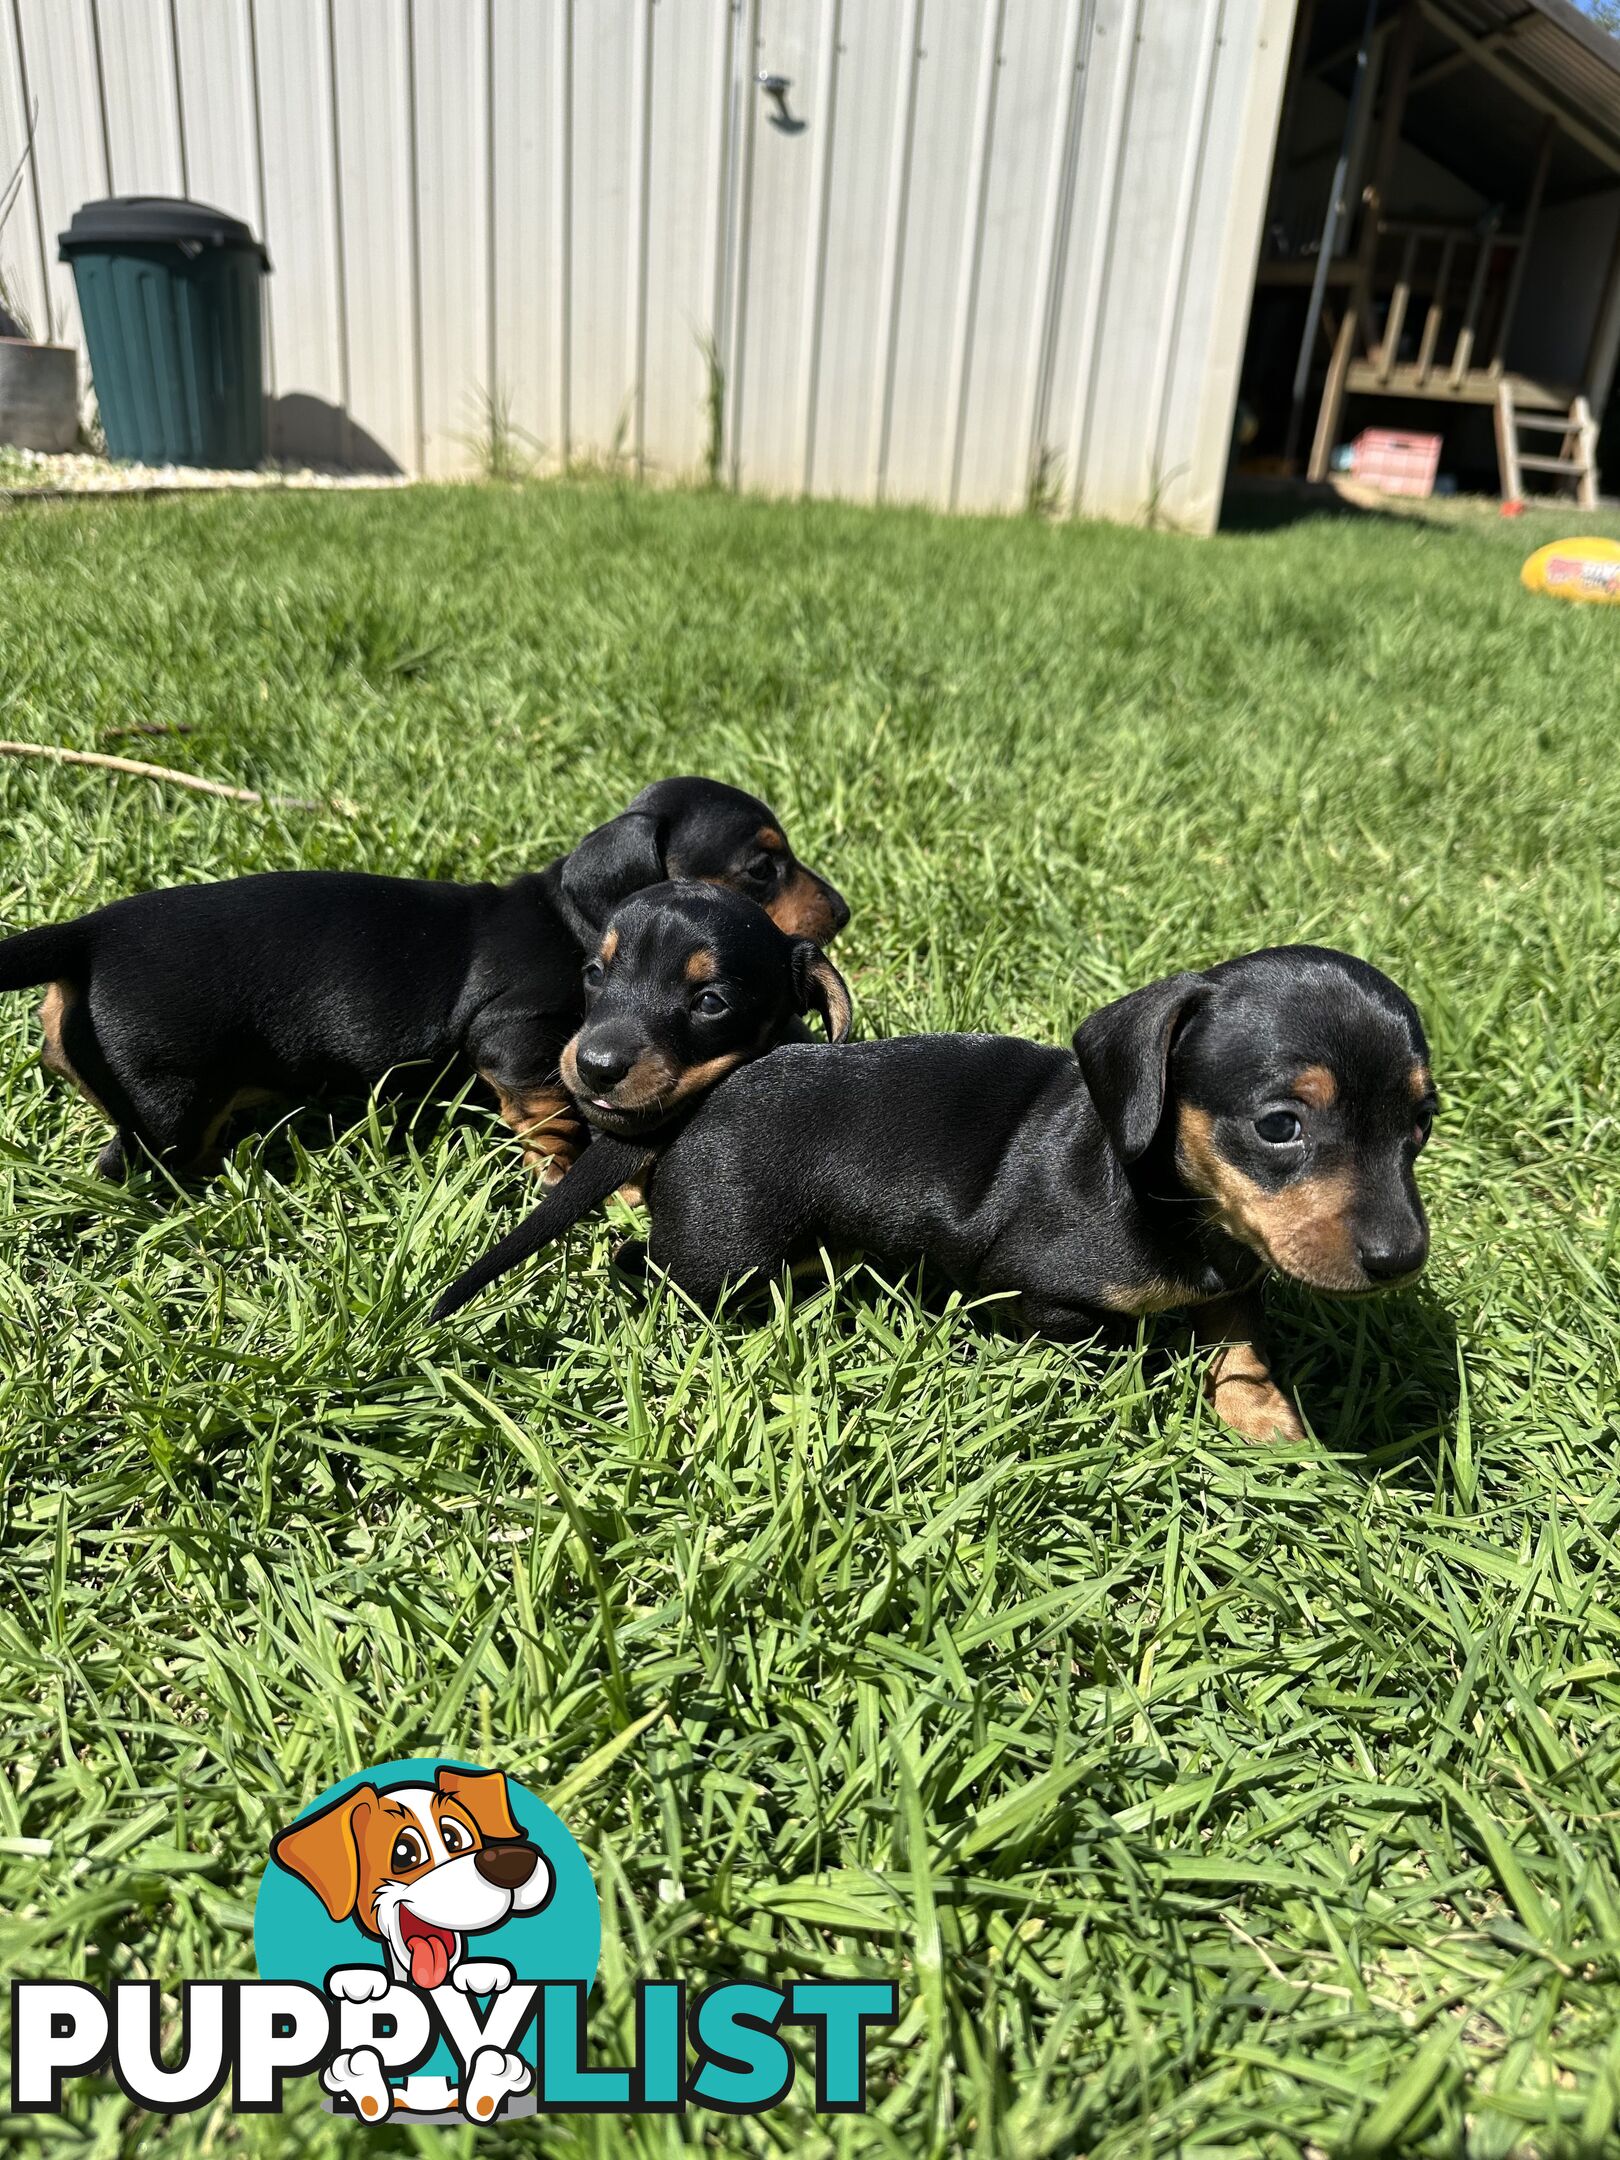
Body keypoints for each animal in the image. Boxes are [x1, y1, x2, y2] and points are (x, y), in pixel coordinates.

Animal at [0, 777, 842, 1183]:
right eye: (763, 868)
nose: (842, 909)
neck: (572, 916)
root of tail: (87, 936)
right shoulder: (514, 1038)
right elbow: (545, 1105)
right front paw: (562, 1163)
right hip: (168, 1104)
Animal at [432, 954, 1434, 1442]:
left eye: (1422, 1122)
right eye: (1280, 1126)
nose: (1402, 1260)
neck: (1179, 1204)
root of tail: (690, 1106)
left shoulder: (1238, 1276)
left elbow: (1241, 1339)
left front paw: (1268, 1422)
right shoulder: (1043, 1297)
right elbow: (1110, 1346)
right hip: (722, 1255)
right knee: (646, 1264)